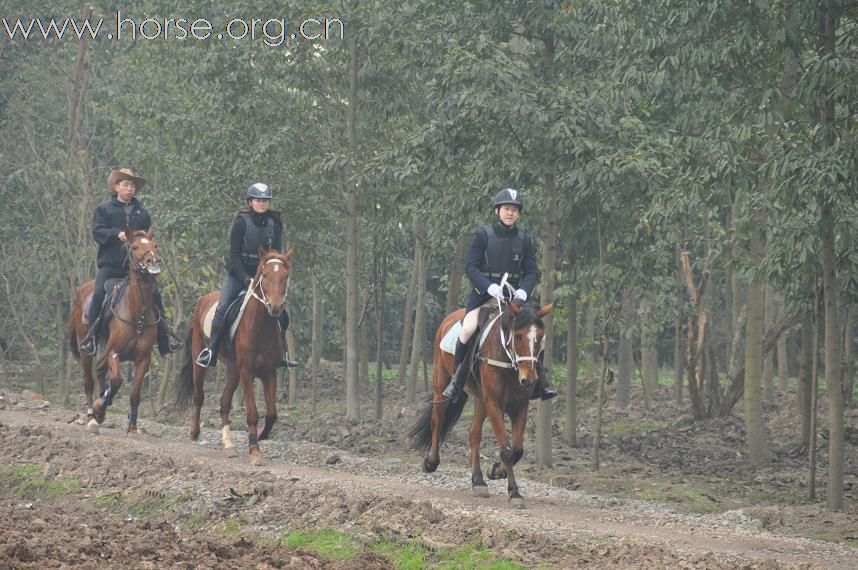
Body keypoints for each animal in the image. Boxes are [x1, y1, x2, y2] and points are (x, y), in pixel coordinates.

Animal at [68, 229, 164, 432]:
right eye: (134, 247)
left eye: (155, 245)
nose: (153, 261)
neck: (137, 314)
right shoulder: (114, 353)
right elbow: (116, 380)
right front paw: (99, 407)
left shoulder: (143, 358)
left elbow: (135, 393)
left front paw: (132, 426)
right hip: (85, 349)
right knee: (89, 380)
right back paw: (92, 417)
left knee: (99, 368)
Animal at [176, 246, 292, 464]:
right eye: (265, 275)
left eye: (285, 276)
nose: (275, 307)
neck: (261, 326)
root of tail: (203, 299)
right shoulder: (247, 371)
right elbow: (253, 413)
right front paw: (254, 450)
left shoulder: (269, 372)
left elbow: (272, 413)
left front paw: (262, 436)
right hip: (200, 361)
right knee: (199, 396)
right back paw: (195, 433)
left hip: (232, 369)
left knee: (224, 403)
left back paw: (228, 444)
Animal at [410, 300, 556, 508]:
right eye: (518, 336)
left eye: (540, 338)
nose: (529, 380)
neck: (508, 362)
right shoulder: (494, 404)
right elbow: (507, 450)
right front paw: (514, 493)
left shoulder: (519, 406)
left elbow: (517, 450)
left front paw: (496, 471)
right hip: (441, 383)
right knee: (437, 419)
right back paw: (431, 462)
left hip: (480, 398)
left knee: (474, 434)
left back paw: (478, 481)